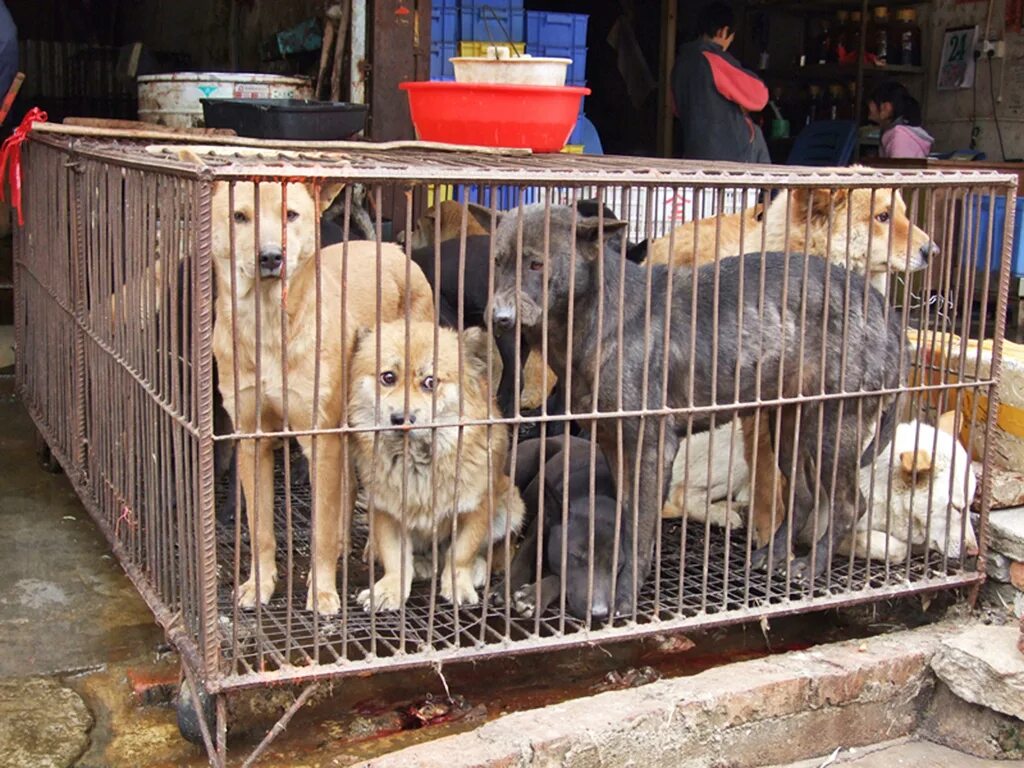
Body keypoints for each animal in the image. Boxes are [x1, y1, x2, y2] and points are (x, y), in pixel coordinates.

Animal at [188, 153, 436, 618]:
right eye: (240, 217)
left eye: (291, 215)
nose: (271, 256)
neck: (269, 327)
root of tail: (390, 247)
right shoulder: (252, 438)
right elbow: (261, 530)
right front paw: (259, 584)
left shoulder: (321, 439)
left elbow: (319, 529)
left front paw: (321, 592)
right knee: (349, 491)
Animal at [352, 319, 528, 614]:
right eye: (388, 377)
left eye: (430, 382)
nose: (401, 418)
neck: (418, 459)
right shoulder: (385, 510)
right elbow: (395, 558)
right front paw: (390, 590)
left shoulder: (476, 508)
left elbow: (461, 554)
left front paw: (459, 584)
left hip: (512, 503)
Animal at [503, 436, 622, 622]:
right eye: (575, 556)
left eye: (618, 563)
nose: (599, 613)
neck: (597, 496)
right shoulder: (541, 526)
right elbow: (523, 557)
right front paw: (504, 589)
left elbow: (561, 579)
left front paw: (533, 596)